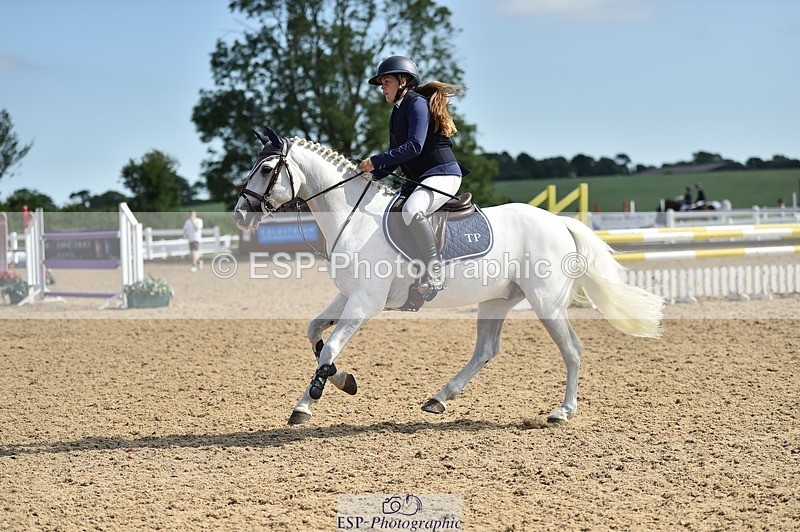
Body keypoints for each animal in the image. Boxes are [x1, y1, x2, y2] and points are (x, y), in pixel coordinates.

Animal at [233, 127, 665, 426]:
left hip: (546, 302)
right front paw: (344, 381)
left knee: (572, 350)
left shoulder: (365, 303)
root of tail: (560, 222)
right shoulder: (347, 296)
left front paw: (306, 404)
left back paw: (562, 412)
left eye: (267, 169)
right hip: (496, 300)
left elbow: (329, 349)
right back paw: (439, 398)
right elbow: (314, 333)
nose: (240, 215)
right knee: (486, 350)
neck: (353, 217)